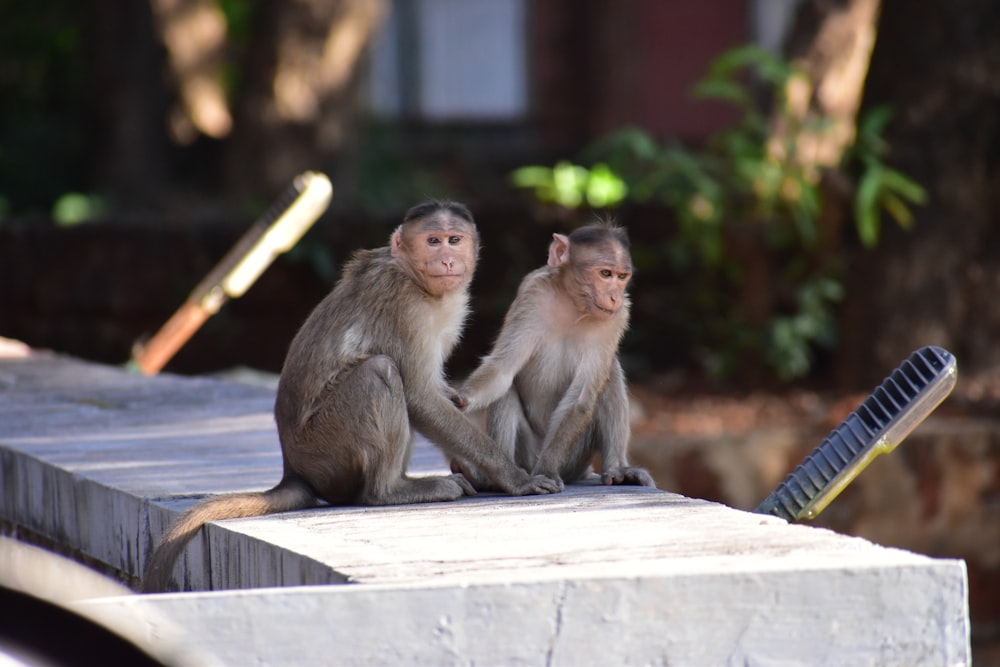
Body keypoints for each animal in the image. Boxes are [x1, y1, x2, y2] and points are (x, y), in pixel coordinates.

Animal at [141, 201, 564, 592]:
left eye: (454, 240)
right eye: (433, 240)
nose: (446, 259)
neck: (415, 277)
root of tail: (293, 468)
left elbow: (438, 395)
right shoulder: (404, 304)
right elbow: (419, 396)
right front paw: (514, 477)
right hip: (326, 449)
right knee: (380, 372)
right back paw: (390, 491)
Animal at [454, 224, 656, 490]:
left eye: (622, 277)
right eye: (605, 273)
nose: (614, 297)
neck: (573, 304)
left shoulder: (618, 316)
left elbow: (580, 400)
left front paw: (548, 470)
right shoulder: (532, 293)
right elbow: (503, 368)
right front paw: (460, 399)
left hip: (574, 458)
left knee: (609, 373)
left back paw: (617, 469)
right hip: (527, 453)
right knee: (506, 390)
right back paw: (497, 479)